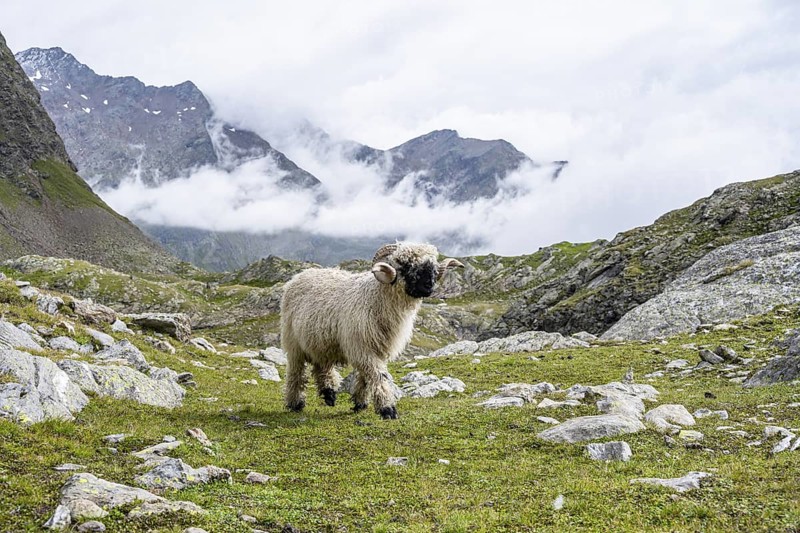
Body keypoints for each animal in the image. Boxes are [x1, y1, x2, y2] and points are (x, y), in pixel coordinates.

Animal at [280, 242, 464, 419]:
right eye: (404, 264)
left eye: (432, 265)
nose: (428, 285)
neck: (375, 298)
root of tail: (299, 276)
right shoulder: (362, 347)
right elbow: (377, 375)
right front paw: (387, 409)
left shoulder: (375, 348)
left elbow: (365, 376)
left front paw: (360, 403)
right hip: (293, 342)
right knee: (296, 372)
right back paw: (295, 403)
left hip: (319, 341)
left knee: (321, 366)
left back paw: (329, 394)